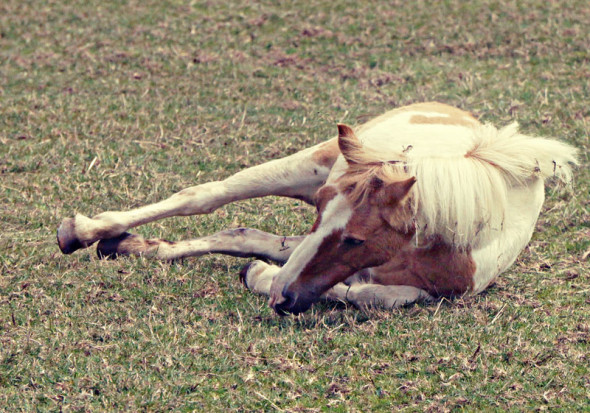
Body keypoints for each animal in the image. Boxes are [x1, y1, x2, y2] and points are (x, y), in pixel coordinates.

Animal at [57, 102, 580, 312]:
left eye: (356, 239)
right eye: (321, 211)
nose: (282, 298)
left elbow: (374, 294)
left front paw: (265, 277)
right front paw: (266, 280)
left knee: (246, 236)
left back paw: (128, 245)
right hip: (310, 163)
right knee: (206, 197)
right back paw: (84, 231)